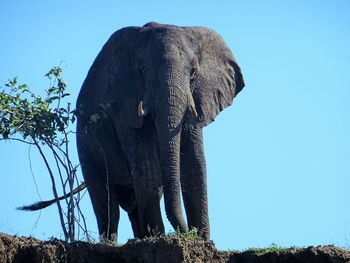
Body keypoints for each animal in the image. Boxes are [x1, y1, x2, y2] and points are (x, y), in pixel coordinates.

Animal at [18, 21, 243, 244]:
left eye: (194, 72)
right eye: (141, 71)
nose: (188, 232)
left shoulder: (196, 100)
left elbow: (194, 162)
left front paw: (202, 242)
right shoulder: (125, 103)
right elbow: (146, 163)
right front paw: (160, 238)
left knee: (133, 204)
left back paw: (140, 237)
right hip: (85, 146)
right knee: (106, 204)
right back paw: (115, 242)